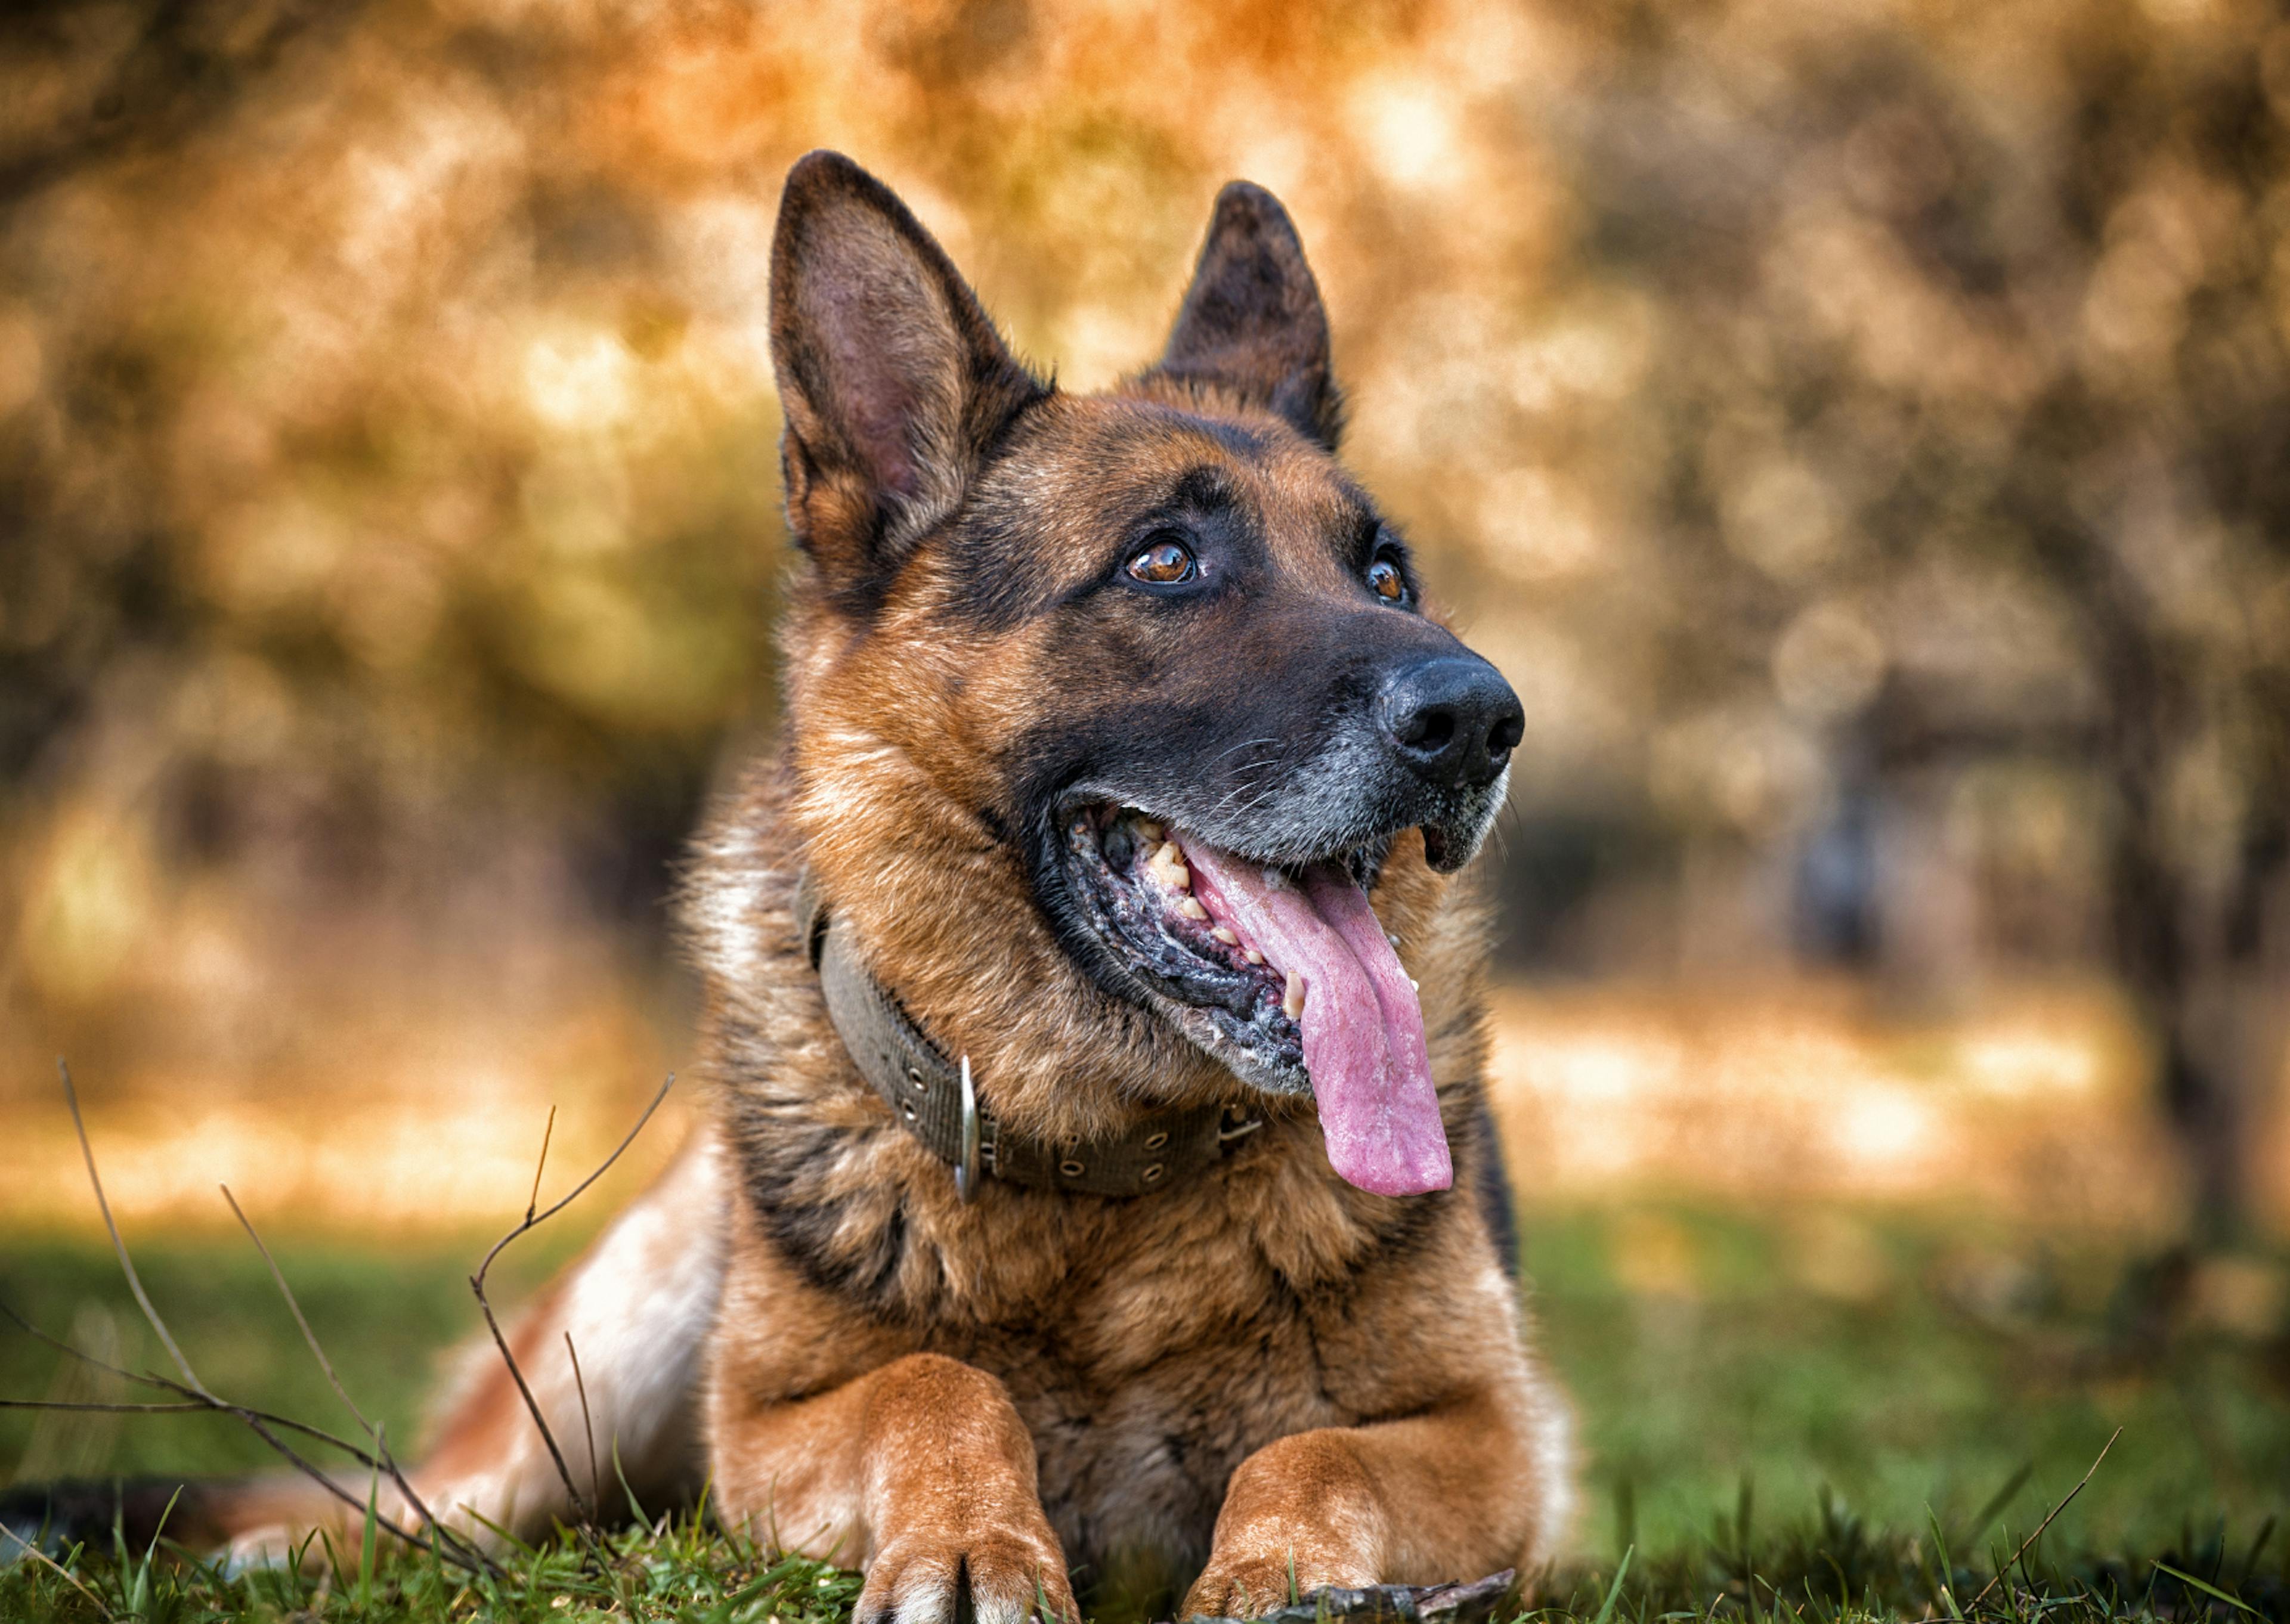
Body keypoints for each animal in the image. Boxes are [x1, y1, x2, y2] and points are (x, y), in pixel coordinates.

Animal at [9, 152, 1575, 1622]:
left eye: (1387, 573)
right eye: (1165, 561)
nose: (1481, 717)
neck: (1104, 1186)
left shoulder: (1504, 1445)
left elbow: (1314, 1452)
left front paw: (1281, 1579)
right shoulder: (766, 1422)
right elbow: (936, 1386)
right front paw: (968, 1542)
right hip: (594, 1362)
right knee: (411, 1507)